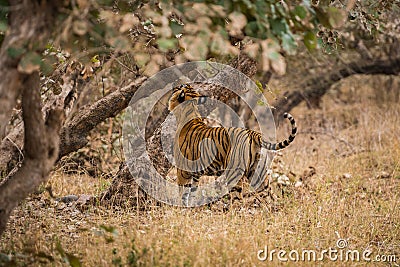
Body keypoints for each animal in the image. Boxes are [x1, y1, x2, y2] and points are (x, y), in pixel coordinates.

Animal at [167, 85, 296, 206]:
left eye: (181, 87)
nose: (175, 85)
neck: (190, 110)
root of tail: (253, 133)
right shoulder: (196, 174)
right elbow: (191, 193)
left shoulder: (183, 170)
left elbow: (182, 193)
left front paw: (180, 208)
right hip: (258, 173)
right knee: (270, 195)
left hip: (234, 173)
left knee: (238, 199)